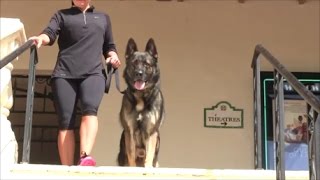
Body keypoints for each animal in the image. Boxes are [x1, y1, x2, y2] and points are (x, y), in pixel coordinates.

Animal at [116, 37, 164, 167]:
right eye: (134, 63)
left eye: (147, 64)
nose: (139, 73)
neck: (141, 96)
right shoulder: (130, 132)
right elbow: (131, 156)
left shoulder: (151, 133)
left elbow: (149, 156)